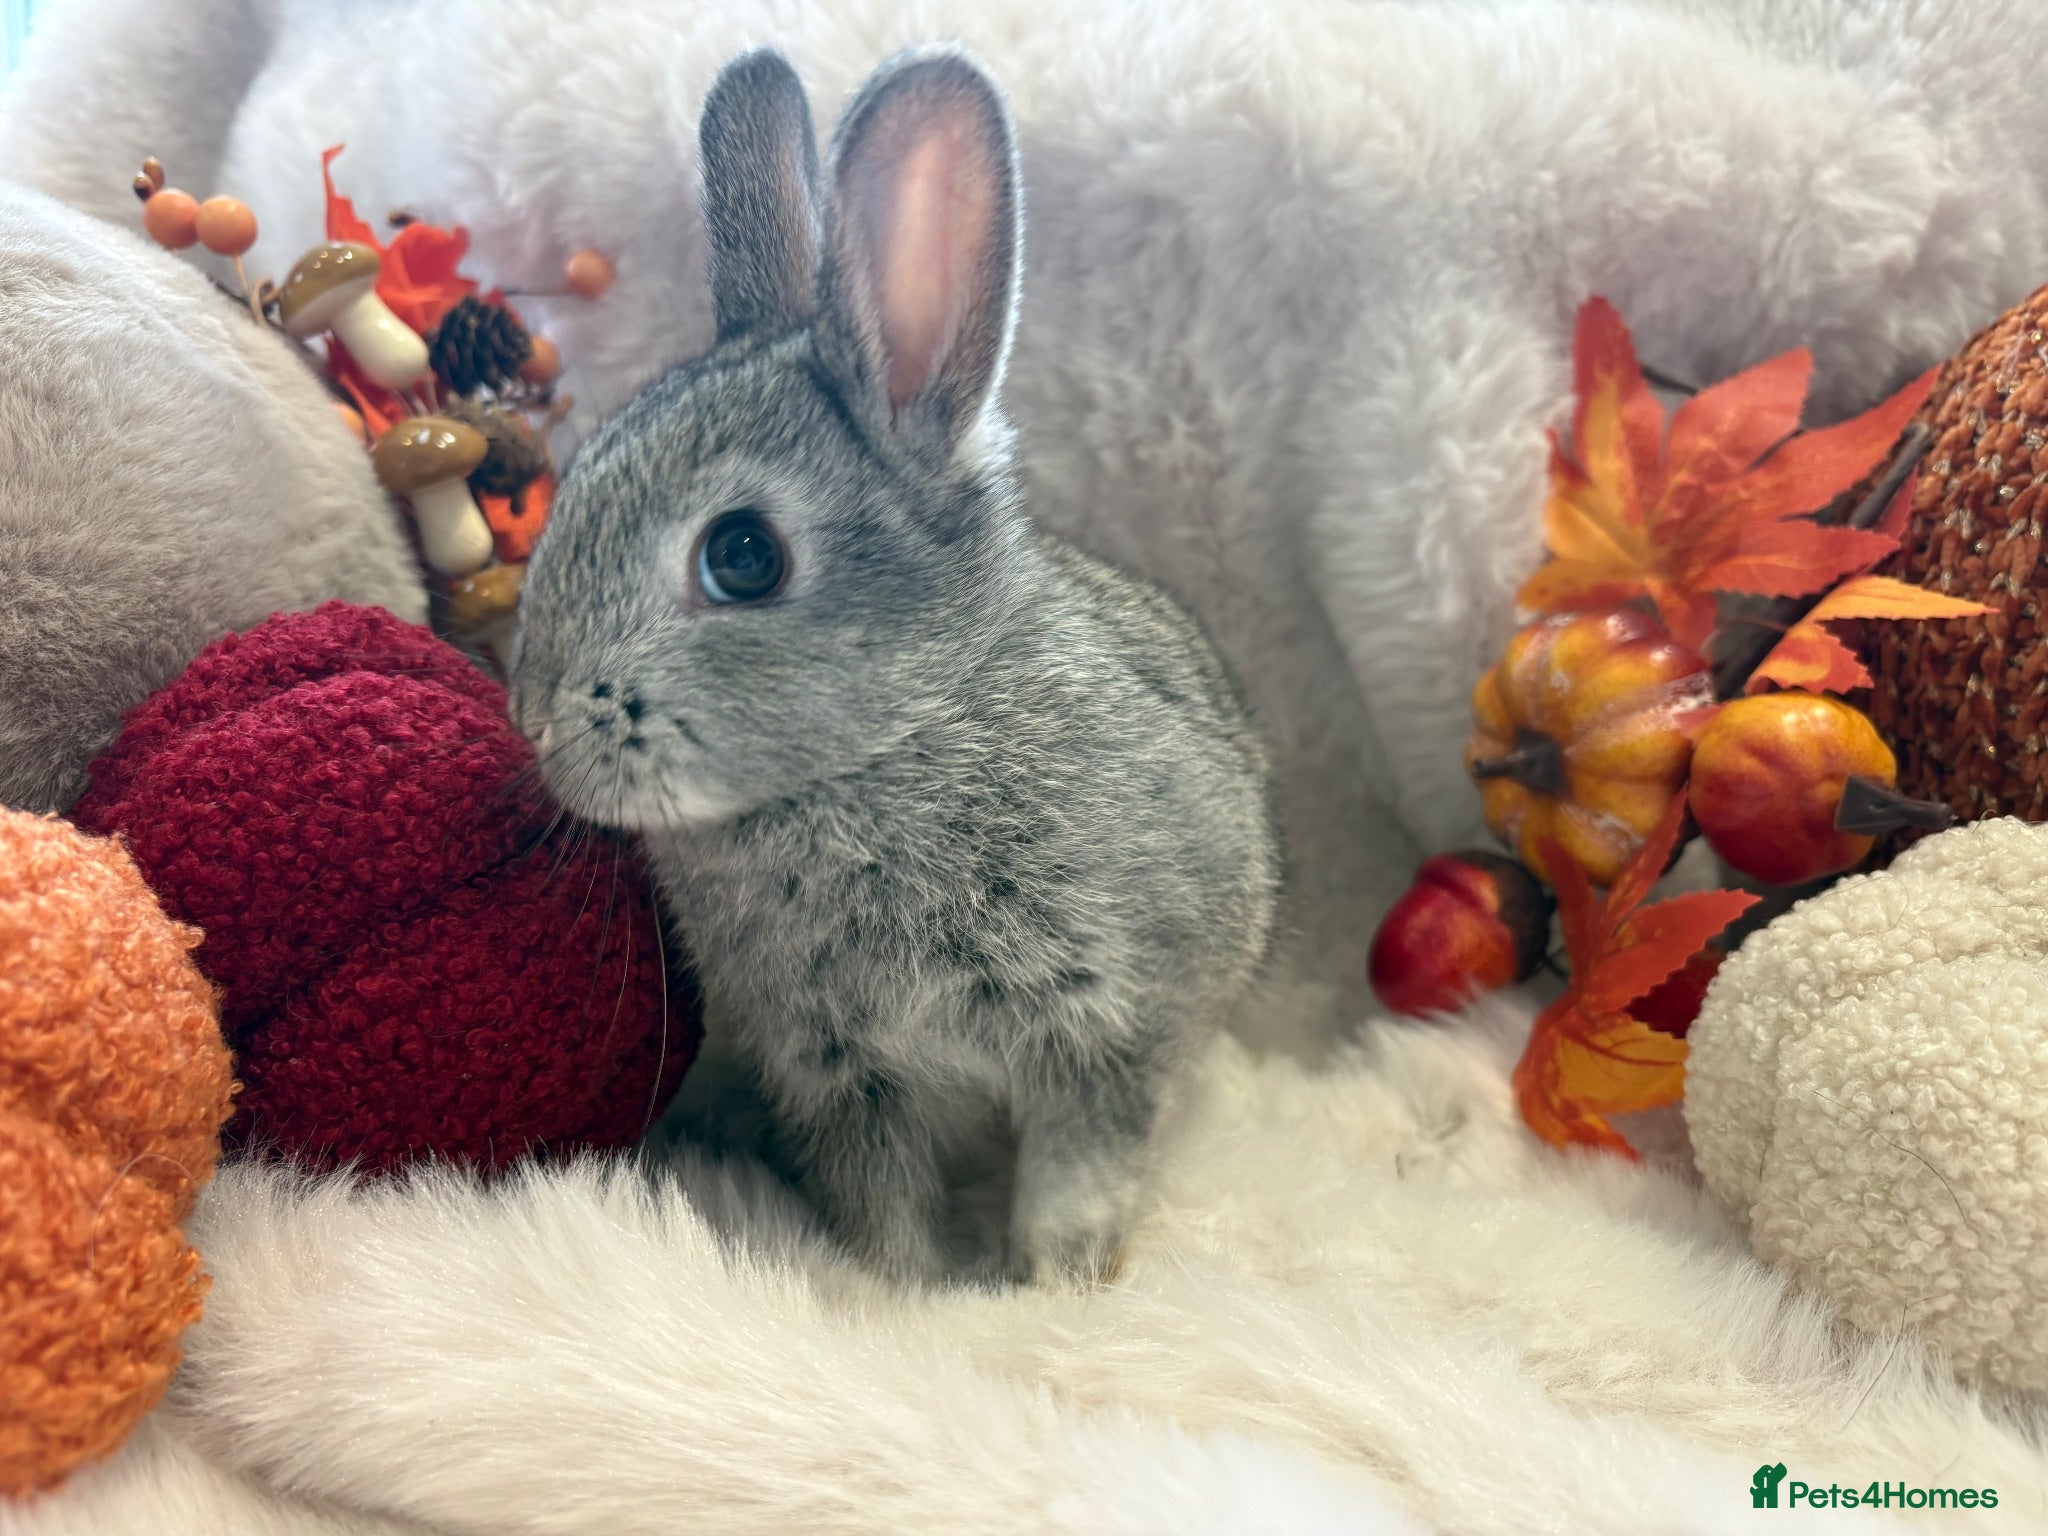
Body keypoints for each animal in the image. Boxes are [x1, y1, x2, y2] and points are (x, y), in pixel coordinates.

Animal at [510, 47, 1281, 1284]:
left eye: (741, 556)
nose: (535, 720)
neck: (886, 747)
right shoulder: (840, 1071)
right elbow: (880, 1206)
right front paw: (908, 1292)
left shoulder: (1104, 1031)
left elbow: (1078, 1177)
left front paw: (1054, 1284)